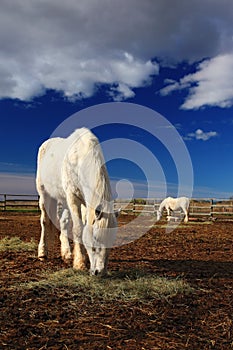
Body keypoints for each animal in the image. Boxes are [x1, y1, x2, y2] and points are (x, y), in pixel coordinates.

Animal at [36, 126, 120, 276]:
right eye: (95, 242)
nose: (100, 272)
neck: (80, 158)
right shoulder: (73, 197)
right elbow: (78, 229)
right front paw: (80, 263)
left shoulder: (85, 203)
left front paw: (80, 258)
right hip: (44, 194)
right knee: (45, 221)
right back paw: (42, 253)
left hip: (63, 199)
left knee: (63, 222)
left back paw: (67, 253)